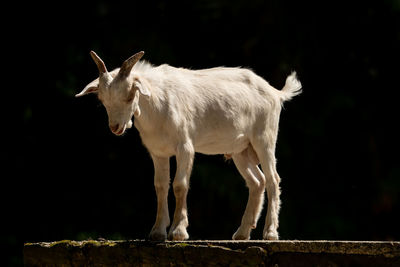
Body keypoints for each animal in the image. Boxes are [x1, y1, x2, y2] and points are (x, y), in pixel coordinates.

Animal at [75, 51, 302, 242]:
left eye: (130, 95)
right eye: (102, 98)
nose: (116, 127)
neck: (157, 105)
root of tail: (275, 93)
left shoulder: (184, 147)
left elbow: (179, 185)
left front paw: (178, 232)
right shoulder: (158, 152)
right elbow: (160, 186)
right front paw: (157, 232)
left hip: (264, 138)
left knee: (273, 180)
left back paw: (270, 233)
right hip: (241, 150)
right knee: (257, 182)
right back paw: (242, 233)